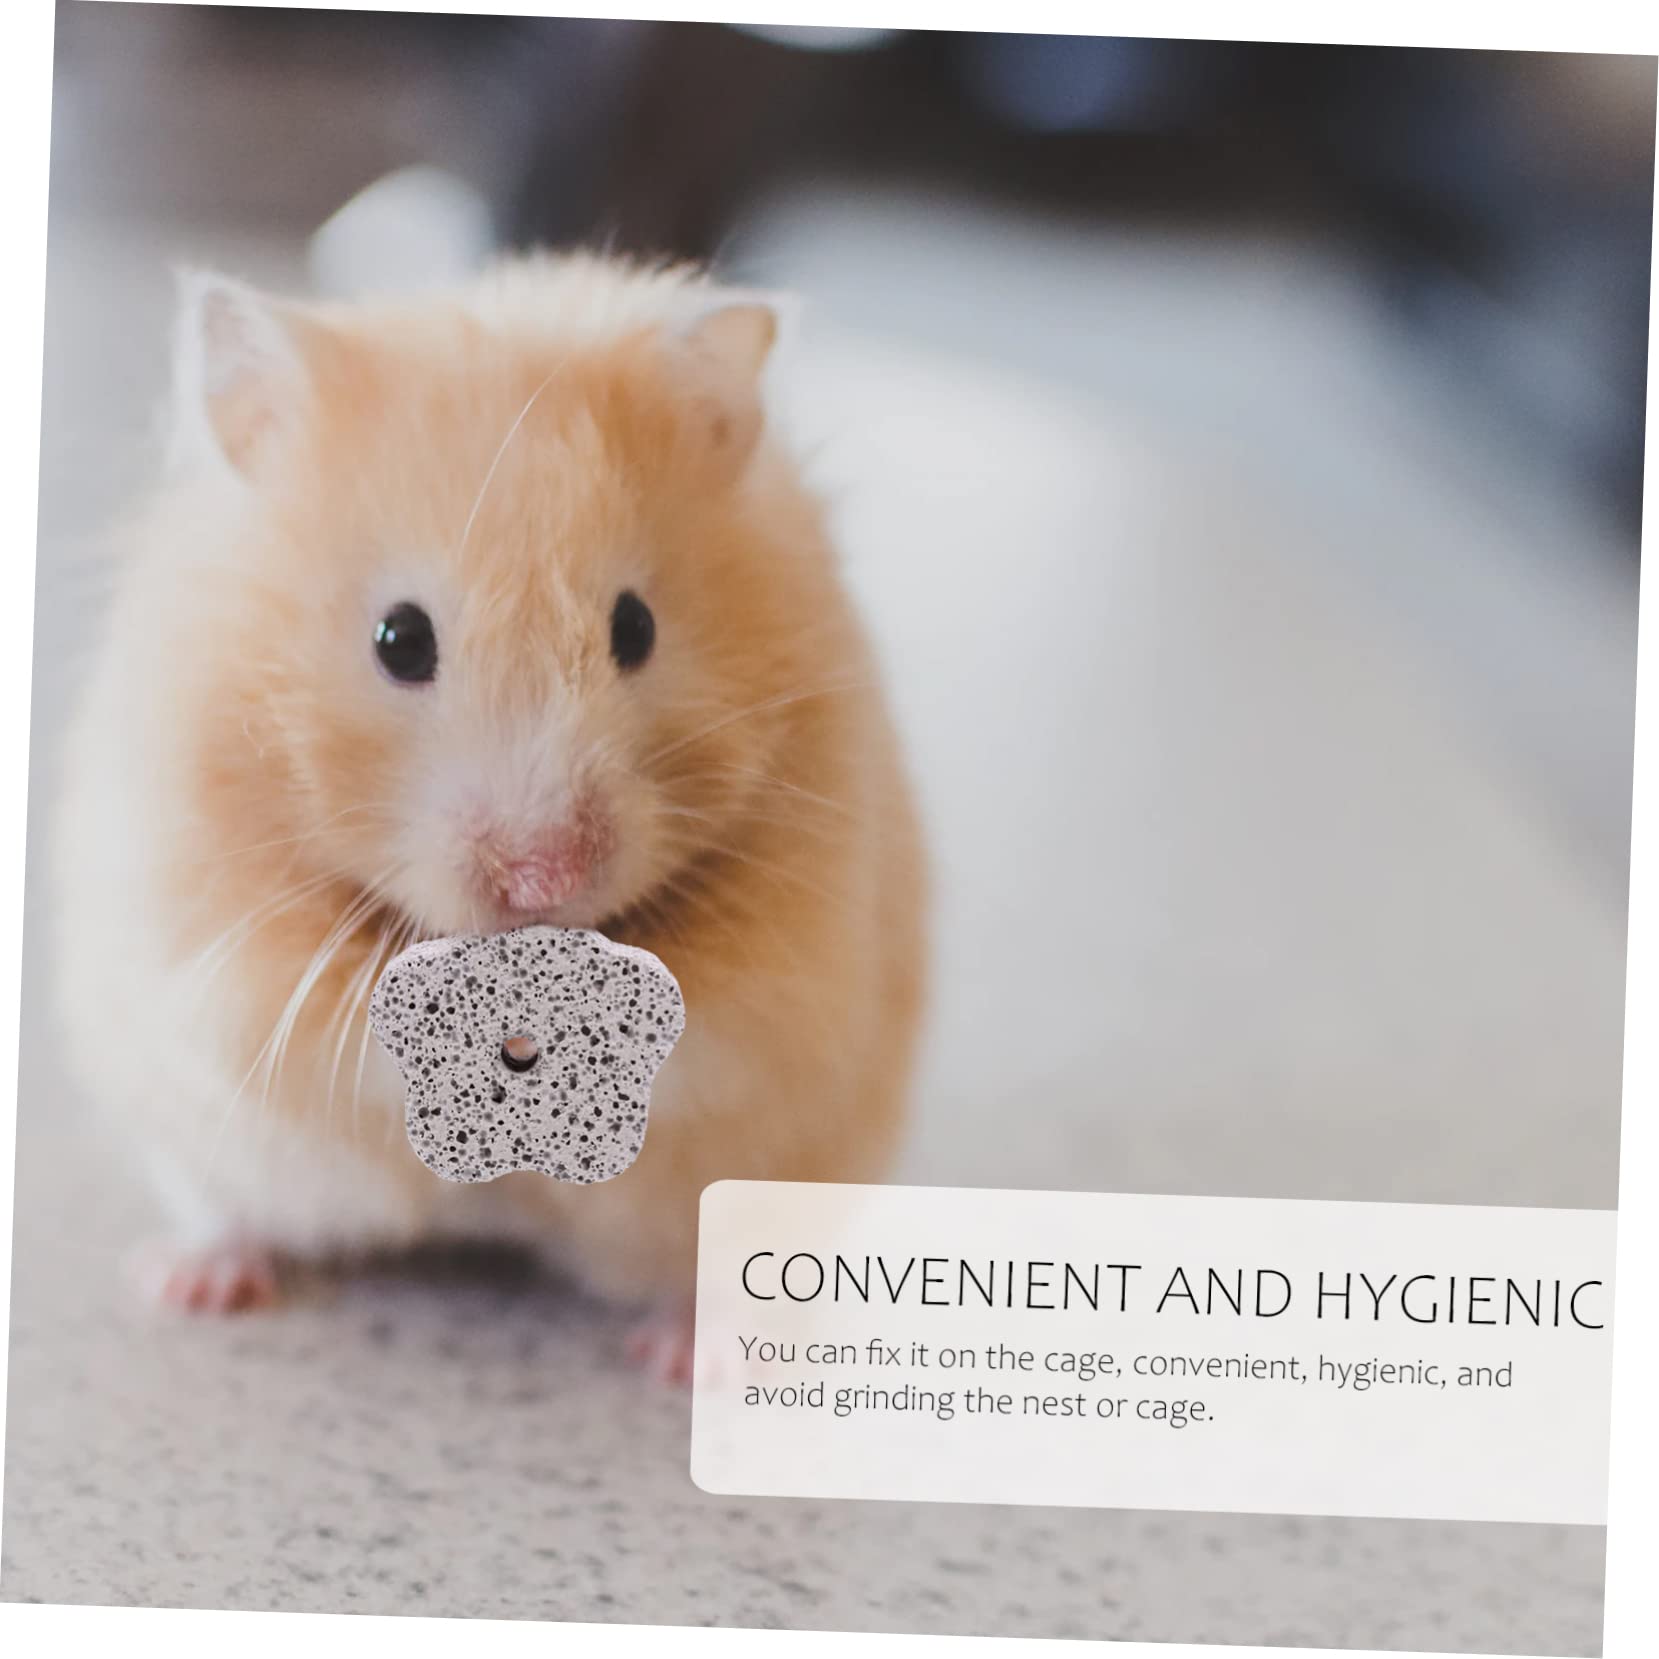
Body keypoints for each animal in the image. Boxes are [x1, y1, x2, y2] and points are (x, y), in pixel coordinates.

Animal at [51, 251, 928, 1373]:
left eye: (635, 627)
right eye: (399, 639)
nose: (543, 878)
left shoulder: (789, 972)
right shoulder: (218, 950)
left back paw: (684, 1355)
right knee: (229, 1213)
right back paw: (191, 1282)